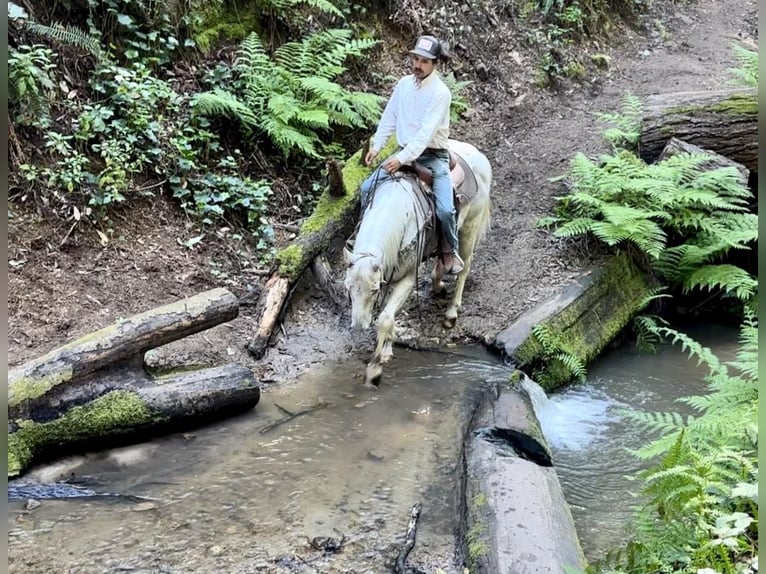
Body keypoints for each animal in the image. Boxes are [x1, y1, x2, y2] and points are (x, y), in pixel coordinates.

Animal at [344, 141, 492, 388]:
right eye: (348, 289)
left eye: (373, 290)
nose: (358, 326)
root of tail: (479, 155)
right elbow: (389, 316)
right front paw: (387, 349)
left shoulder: (406, 279)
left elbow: (385, 318)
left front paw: (375, 368)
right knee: (443, 259)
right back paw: (439, 285)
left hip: (470, 227)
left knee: (465, 267)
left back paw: (451, 313)